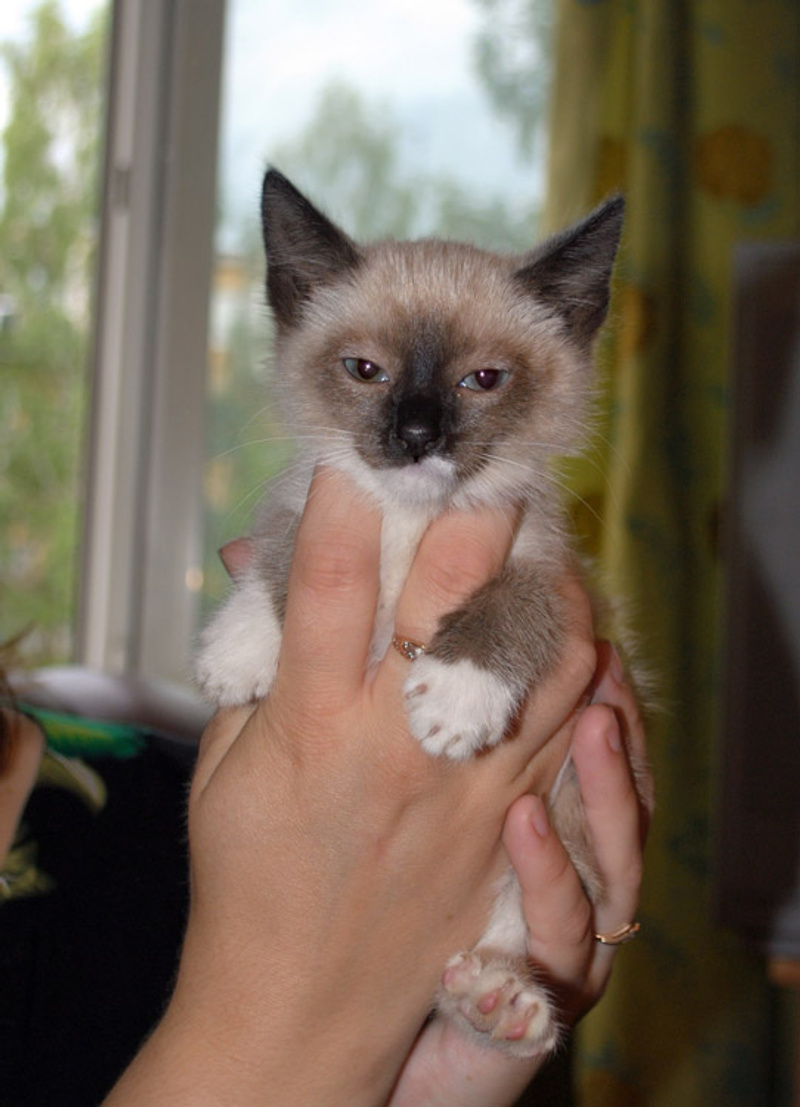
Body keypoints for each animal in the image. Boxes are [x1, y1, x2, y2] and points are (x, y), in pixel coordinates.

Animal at [196, 167, 626, 1058]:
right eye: (366, 369)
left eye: (483, 380)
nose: (418, 435)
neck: (408, 522)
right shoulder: (315, 500)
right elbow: (278, 541)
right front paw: (239, 648)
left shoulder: (559, 577)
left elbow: (514, 600)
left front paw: (455, 700)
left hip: (556, 827)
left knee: (513, 925)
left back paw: (505, 1000)